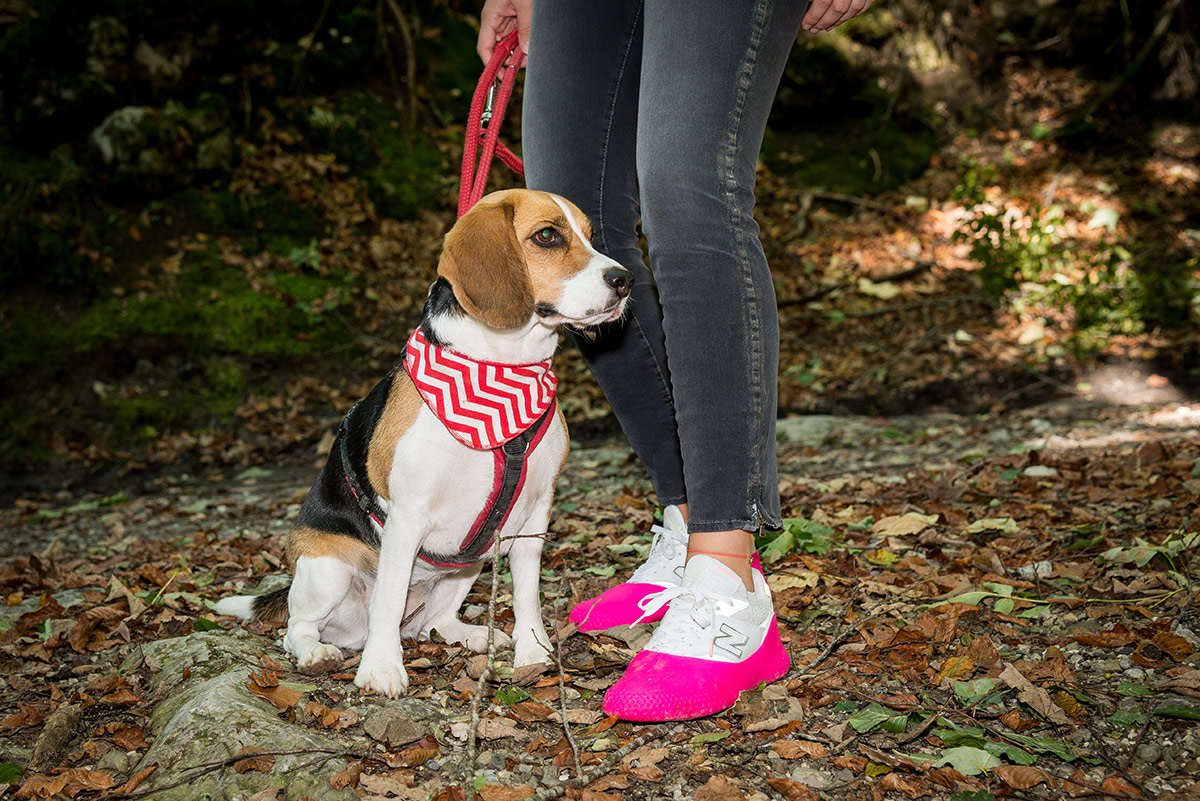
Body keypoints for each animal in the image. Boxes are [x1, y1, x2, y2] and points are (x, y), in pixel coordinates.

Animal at [216, 190, 633, 695]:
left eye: (591, 236)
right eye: (547, 235)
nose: (625, 280)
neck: (505, 368)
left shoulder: (535, 515)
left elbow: (527, 594)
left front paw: (532, 651)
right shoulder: (407, 517)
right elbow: (389, 599)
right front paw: (381, 669)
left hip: (468, 564)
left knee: (433, 622)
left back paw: (475, 635)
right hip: (328, 569)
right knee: (299, 628)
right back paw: (318, 652)